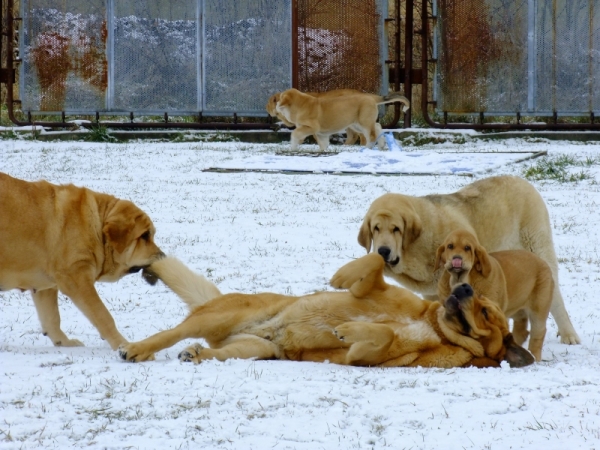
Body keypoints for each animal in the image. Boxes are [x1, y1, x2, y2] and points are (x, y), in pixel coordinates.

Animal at [0, 171, 164, 350]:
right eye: (145, 235)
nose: (163, 256)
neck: (96, 227)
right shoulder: (77, 278)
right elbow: (103, 315)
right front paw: (123, 345)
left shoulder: (45, 287)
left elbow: (52, 319)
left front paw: (64, 343)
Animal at [119, 253, 532, 370]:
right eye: (481, 302)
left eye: (488, 312)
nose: (464, 287)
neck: (433, 327)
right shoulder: (376, 289)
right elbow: (374, 263)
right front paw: (341, 276)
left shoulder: (360, 358)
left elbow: (380, 333)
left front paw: (348, 329)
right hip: (220, 316)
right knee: (170, 333)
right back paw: (139, 348)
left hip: (253, 348)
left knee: (212, 349)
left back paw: (193, 353)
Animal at [276, 87, 408, 151]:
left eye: (281, 98)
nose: (276, 103)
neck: (301, 104)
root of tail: (370, 97)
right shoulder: (320, 133)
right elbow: (323, 143)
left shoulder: (310, 128)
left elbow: (294, 134)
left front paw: (292, 148)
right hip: (358, 124)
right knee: (377, 127)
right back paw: (380, 145)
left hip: (363, 123)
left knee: (371, 135)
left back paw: (367, 148)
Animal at [358, 176, 580, 344]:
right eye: (376, 228)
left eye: (396, 229)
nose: (383, 251)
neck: (417, 246)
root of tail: (522, 180)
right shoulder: (432, 292)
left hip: (537, 245)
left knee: (555, 295)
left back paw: (568, 334)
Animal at [434, 230, 556, 360]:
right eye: (450, 246)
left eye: (467, 248)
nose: (457, 258)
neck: (460, 279)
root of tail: (543, 262)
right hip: (517, 307)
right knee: (521, 327)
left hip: (539, 309)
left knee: (538, 333)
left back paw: (534, 356)